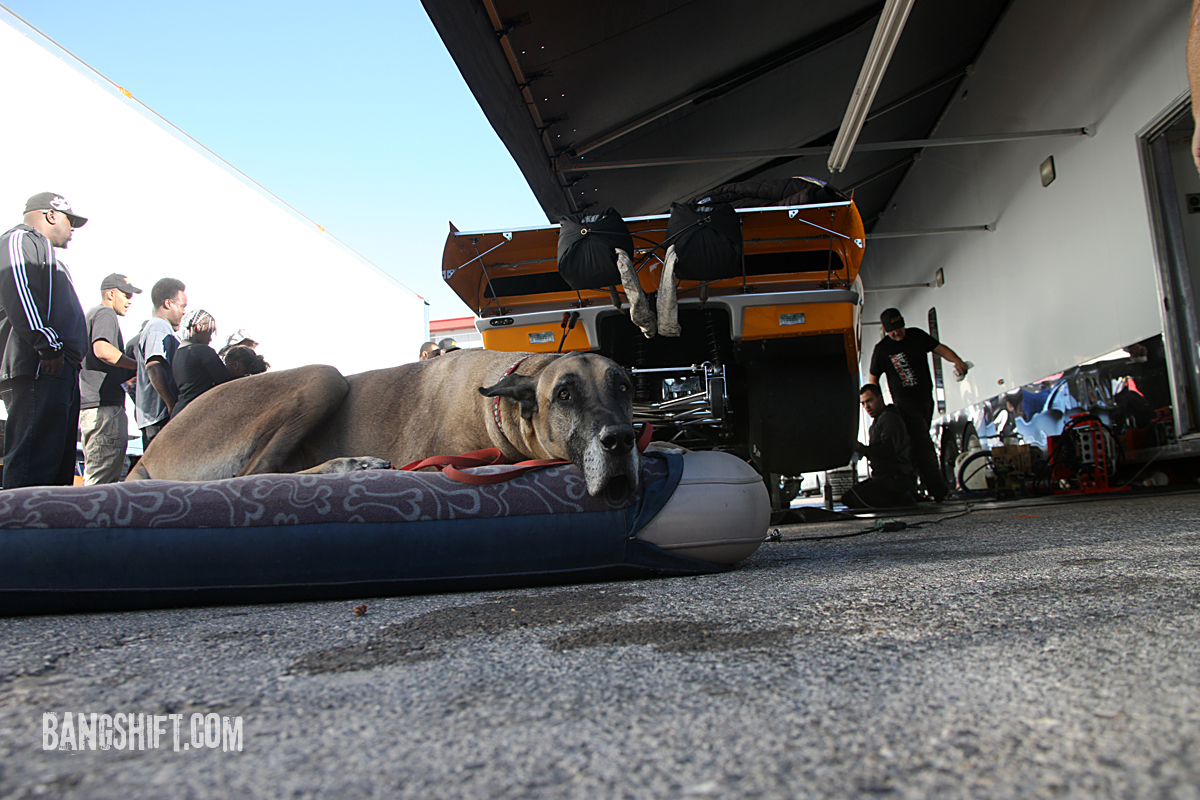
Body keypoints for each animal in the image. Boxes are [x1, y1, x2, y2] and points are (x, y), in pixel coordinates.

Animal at [126, 347, 643, 496]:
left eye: (623, 386)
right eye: (564, 394)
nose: (620, 440)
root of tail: (147, 454)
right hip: (322, 377)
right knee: (251, 475)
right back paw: (351, 465)